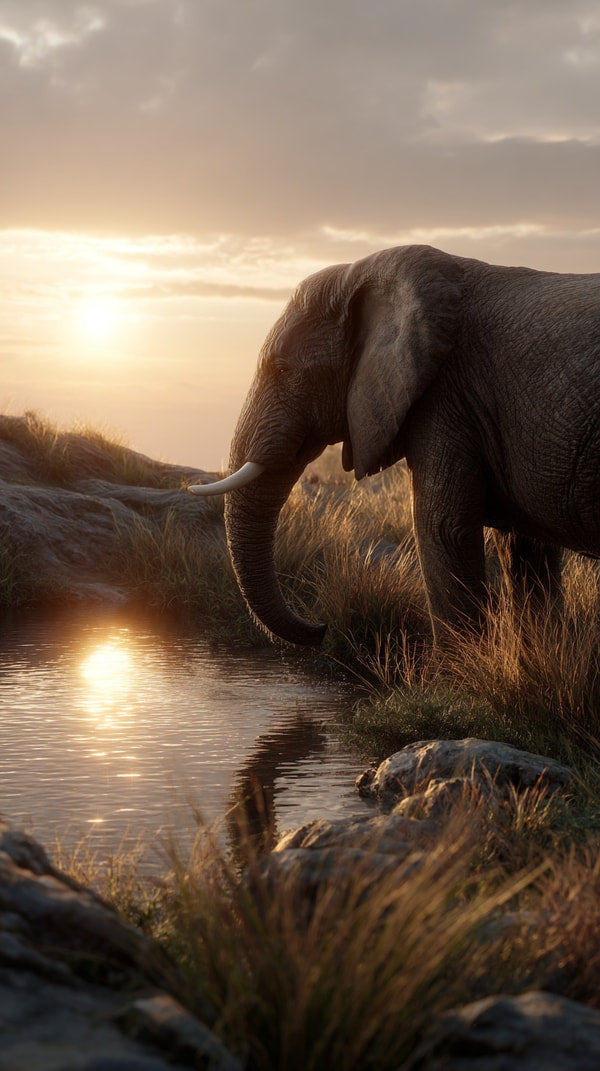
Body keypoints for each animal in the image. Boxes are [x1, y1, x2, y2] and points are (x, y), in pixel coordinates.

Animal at [189, 244, 600, 647]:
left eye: (282, 369)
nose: (322, 628)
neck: (357, 273)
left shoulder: (447, 400)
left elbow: (442, 528)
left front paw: (458, 669)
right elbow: (523, 549)